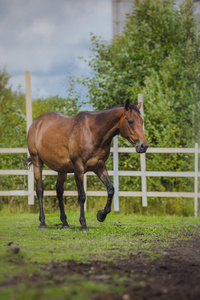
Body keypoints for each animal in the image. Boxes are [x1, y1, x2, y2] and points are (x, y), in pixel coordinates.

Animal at [27, 99, 148, 231]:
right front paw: (83, 224)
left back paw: (65, 223)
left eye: (142, 121)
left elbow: (111, 190)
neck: (92, 132)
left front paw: (101, 215)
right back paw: (42, 223)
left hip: (62, 169)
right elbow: (82, 196)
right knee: (40, 190)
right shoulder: (78, 168)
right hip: (37, 161)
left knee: (59, 191)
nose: (144, 146)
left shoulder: (100, 167)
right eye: (130, 121)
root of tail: (37, 123)